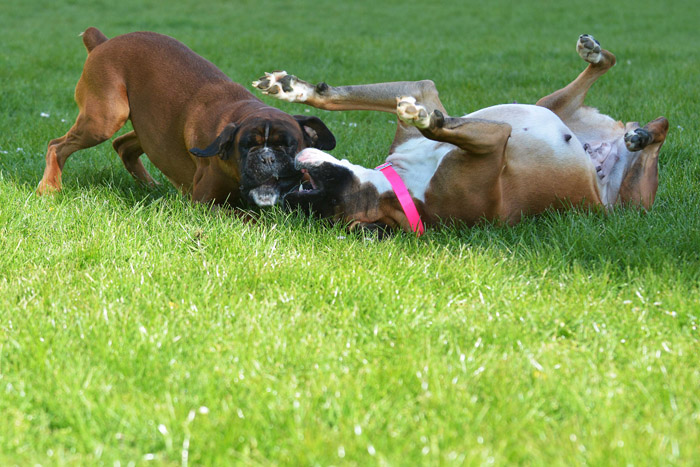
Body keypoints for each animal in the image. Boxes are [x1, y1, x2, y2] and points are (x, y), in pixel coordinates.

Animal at [37, 27, 338, 207]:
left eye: (286, 145)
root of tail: (103, 42)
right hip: (105, 118)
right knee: (57, 146)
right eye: (246, 146)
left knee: (123, 146)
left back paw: (152, 188)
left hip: (149, 128)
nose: (266, 158)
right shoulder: (207, 203)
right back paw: (49, 188)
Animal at [252, 35, 668, 234]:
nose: (290, 173)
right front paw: (427, 118)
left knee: (615, 70)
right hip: (630, 202)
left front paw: (294, 88)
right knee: (659, 130)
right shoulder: (493, 144)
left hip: (551, 105)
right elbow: (440, 121)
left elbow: (337, 99)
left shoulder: (424, 93)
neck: (403, 189)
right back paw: (641, 138)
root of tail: (606, 146)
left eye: (311, 193)